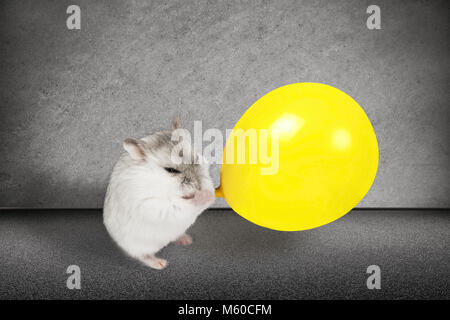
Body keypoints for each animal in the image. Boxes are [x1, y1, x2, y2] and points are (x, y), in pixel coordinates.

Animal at [103, 116, 215, 268]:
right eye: (171, 170)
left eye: (196, 159)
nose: (198, 186)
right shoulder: (152, 205)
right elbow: (178, 205)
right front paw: (204, 196)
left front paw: (210, 193)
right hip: (138, 245)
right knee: (142, 255)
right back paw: (160, 264)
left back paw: (186, 240)